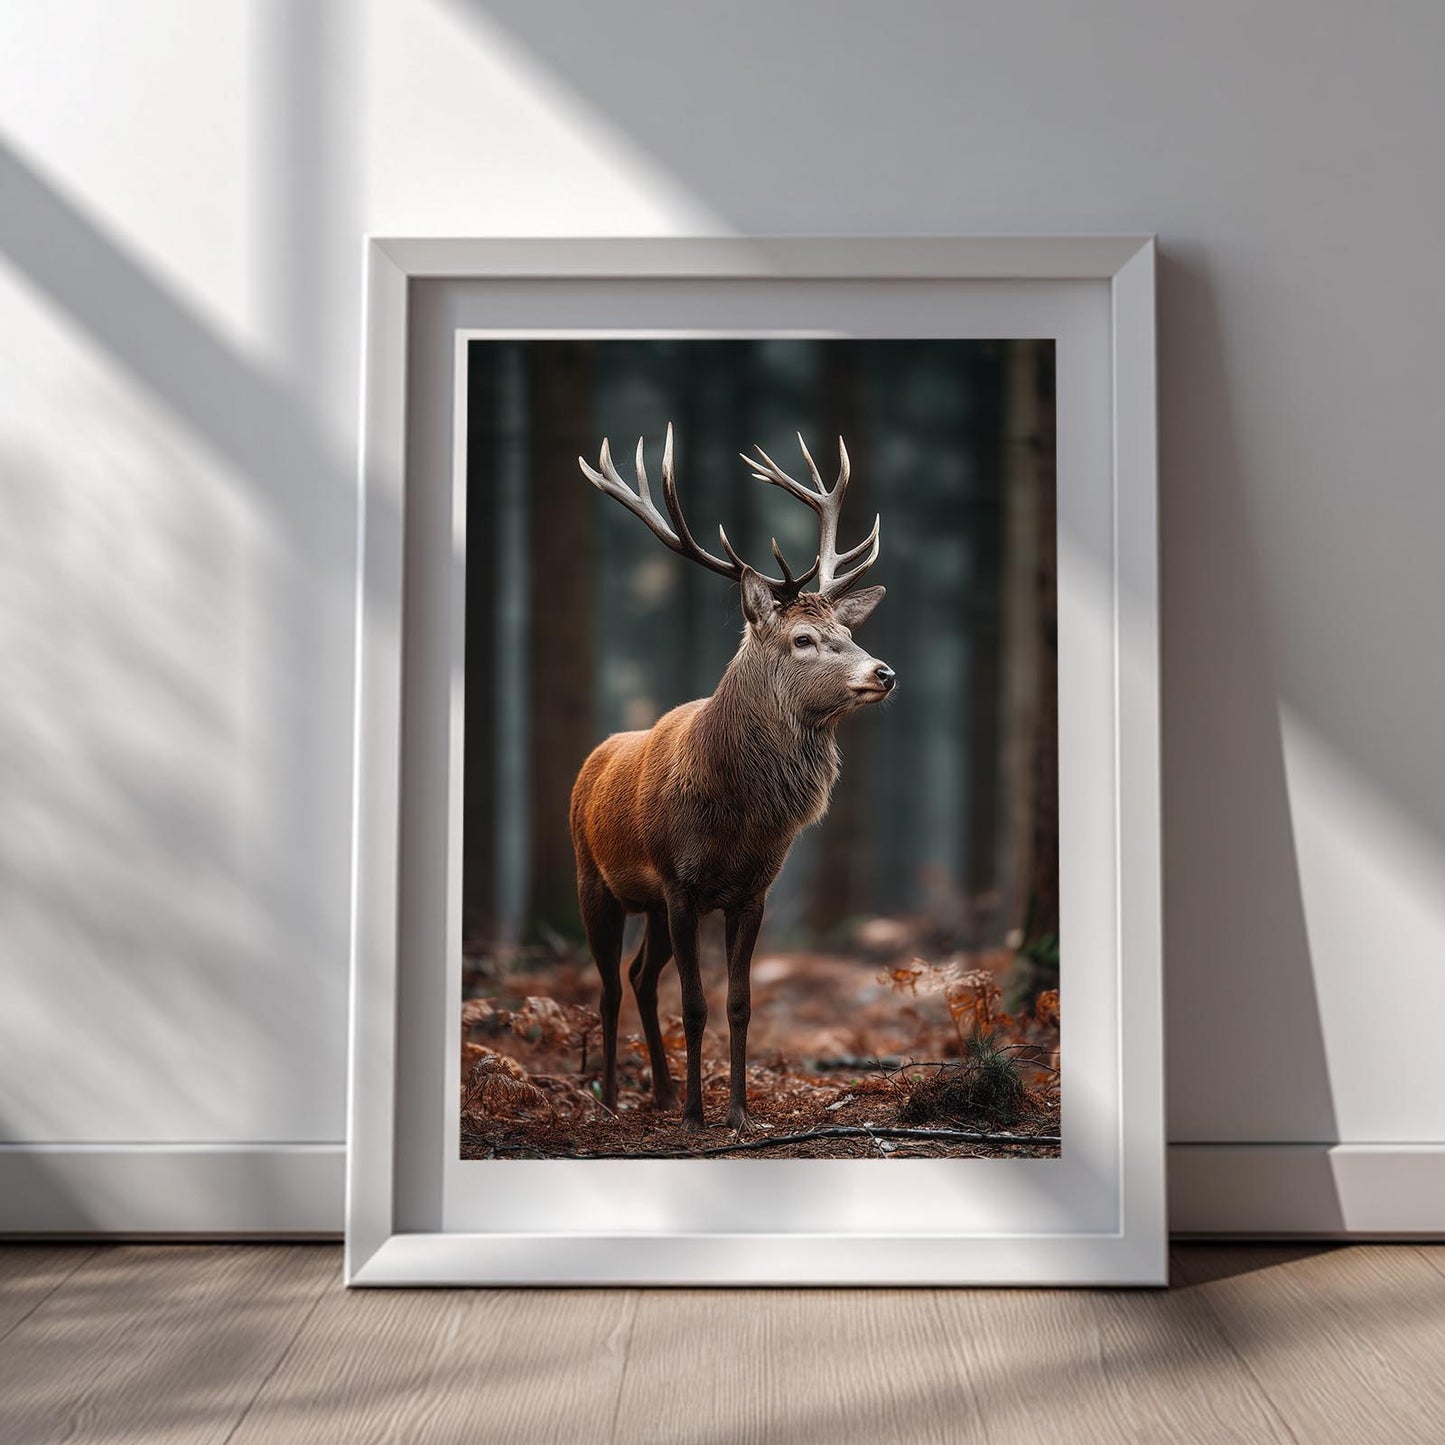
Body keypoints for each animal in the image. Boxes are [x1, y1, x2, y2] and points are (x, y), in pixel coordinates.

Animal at [571, 424, 895, 1132]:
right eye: (803, 639)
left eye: (845, 628)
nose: (884, 672)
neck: (737, 817)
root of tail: (594, 758)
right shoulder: (679, 881)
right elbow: (693, 1005)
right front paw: (699, 1116)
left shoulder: (752, 891)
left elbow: (739, 1004)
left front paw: (739, 1113)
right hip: (596, 882)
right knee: (607, 987)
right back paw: (609, 1098)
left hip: (651, 908)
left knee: (639, 977)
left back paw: (661, 1094)